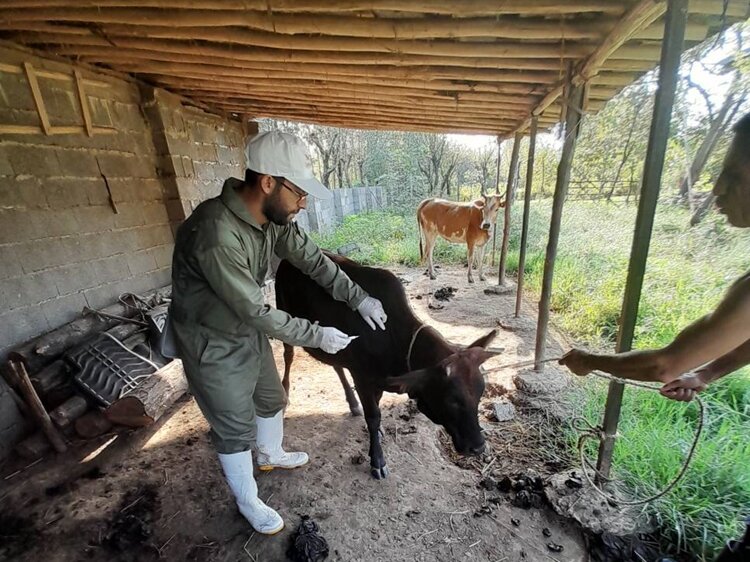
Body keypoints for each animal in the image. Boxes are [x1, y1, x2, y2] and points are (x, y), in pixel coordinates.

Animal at [278, 253, 500, 476]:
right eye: (451, 400)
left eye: (481, 393)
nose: (478, 447)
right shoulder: (362, 377)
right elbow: (373, 416)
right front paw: (377, 459)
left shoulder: (378, 380)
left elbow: (376, 409)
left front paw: (376, 433)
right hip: (285, 317)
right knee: (288, 355)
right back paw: (285, 394)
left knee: (337, 365)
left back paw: (353, 403)